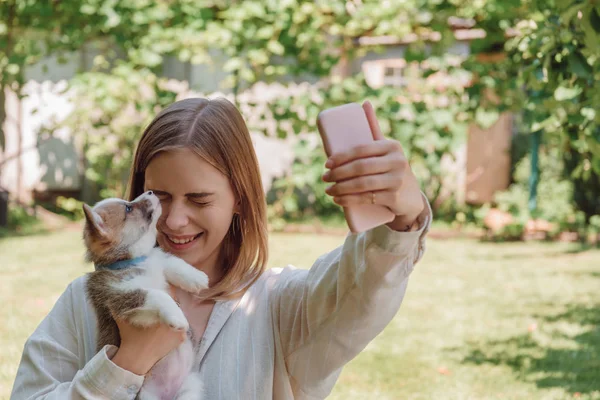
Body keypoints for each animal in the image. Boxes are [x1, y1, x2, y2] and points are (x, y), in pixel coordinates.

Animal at [83, 192, 207, 398]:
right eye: (128, 208)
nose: (150, 192)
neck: (134, 261)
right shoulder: (122, 299)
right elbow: (155, 295)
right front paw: (177, 316)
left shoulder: (158, 260)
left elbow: (172, 263)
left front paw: (197, 277)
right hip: (146, 394)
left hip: (191, 386)